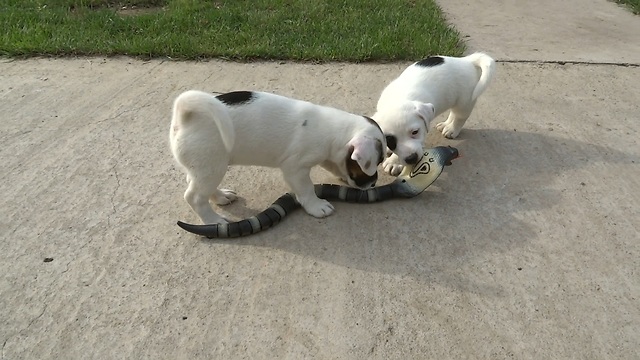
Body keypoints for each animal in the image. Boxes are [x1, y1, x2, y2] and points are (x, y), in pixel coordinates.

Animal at [170, 89, 384, 225]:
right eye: (377, 162)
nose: (373, 184)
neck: (333, 130)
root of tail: (184, 118)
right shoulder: (295, 169)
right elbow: (307, 189)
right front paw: (317, 206)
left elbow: (333, 165)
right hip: (212, 167)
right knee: (194, 197)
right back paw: (213, 220)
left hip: (206, 168)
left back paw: (221, 196)